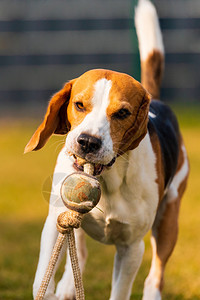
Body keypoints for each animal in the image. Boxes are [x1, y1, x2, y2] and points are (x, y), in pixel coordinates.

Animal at [25, 1, 189, 298]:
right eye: (79, 104)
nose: (88, 142)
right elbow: (43, 277)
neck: (107, 178)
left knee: (155, 275)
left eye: (122, 113)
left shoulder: (132, 248)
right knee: (79, 253)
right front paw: (53, 289)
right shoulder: (55, 221)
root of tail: (158, 100)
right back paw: (67, 286)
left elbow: (121, 289)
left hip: (169, 220)